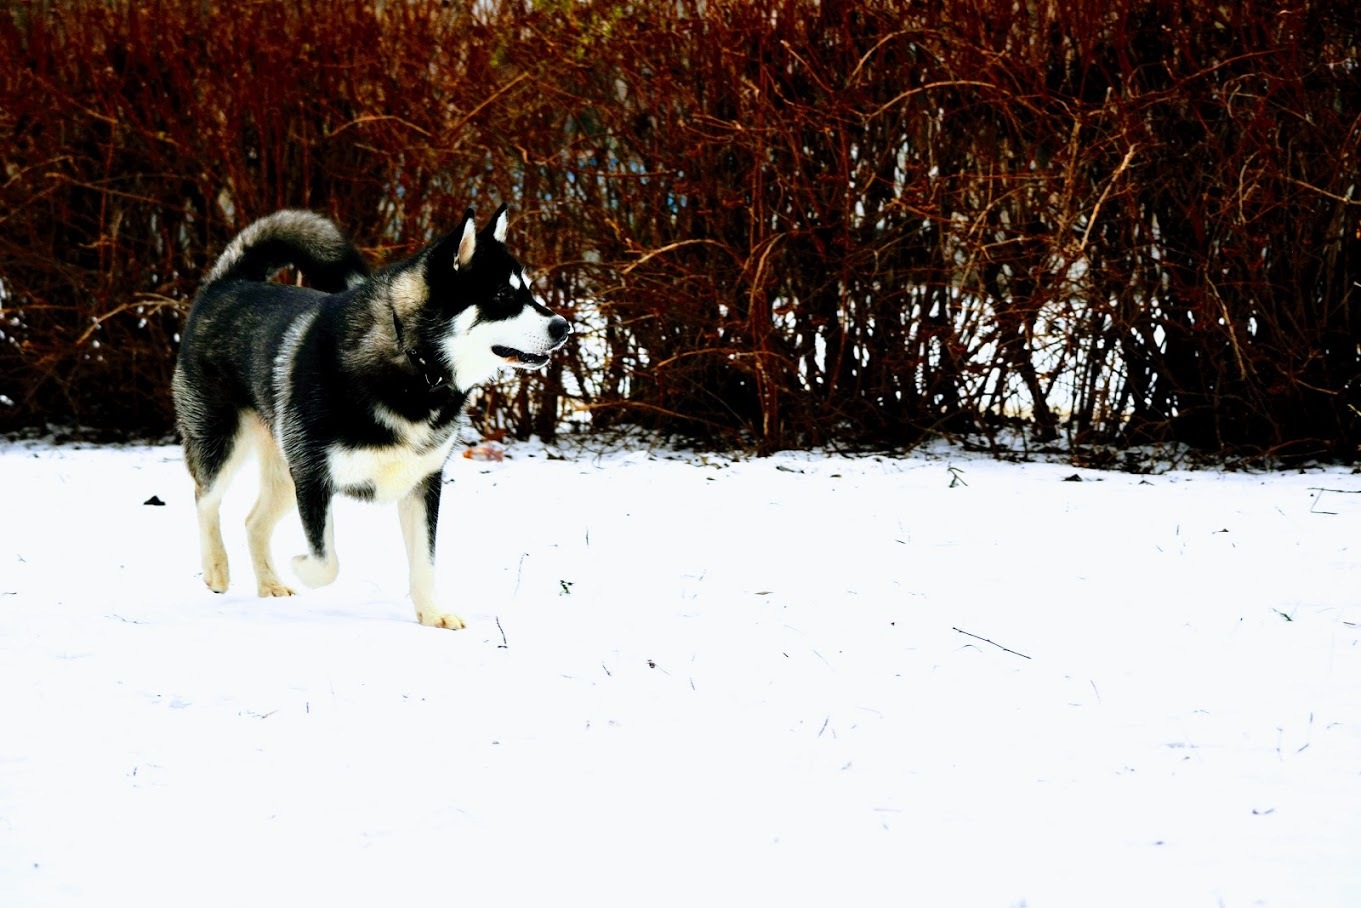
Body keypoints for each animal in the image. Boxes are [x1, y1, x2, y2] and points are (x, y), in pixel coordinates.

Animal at [172, 205, 571, 628]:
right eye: (502, 295)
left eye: (528, 291)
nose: (563, 326)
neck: (415, 366)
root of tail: (228, 283)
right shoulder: (313, 476)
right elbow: (326, 561)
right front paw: (301, 565)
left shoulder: (423, 481)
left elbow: (424, 562)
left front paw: (432, 614)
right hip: (225, 442)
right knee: (205, 498)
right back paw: (217, 568)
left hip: (282, 471)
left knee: (253, 521)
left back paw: (270, 584)